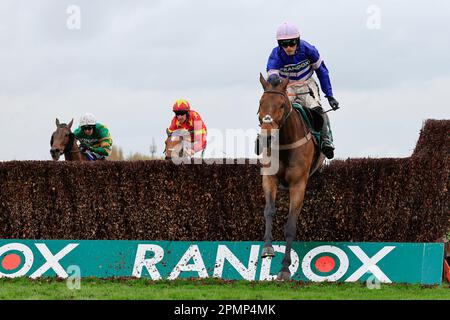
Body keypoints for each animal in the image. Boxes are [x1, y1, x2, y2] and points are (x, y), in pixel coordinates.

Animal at [256, 72, 324, 280]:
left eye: (281, 105)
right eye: (261, 103)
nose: (266, 137)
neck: (285, 145)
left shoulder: (298, 185)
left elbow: (290, 226)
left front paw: (285, 268)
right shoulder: (269, 179)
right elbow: (269, 211)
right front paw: (267, 249)